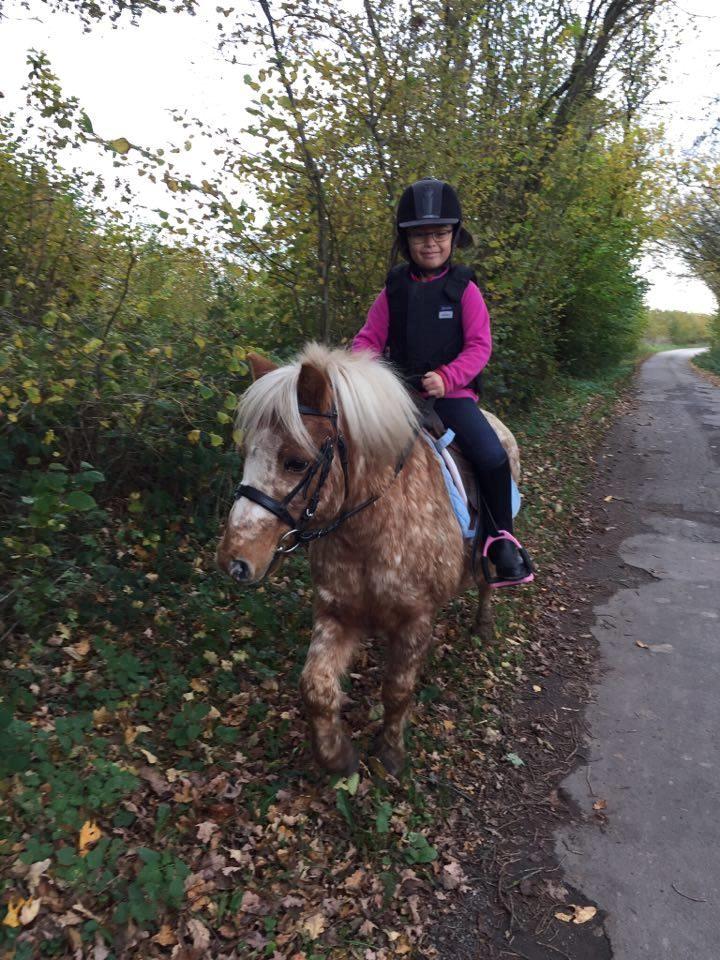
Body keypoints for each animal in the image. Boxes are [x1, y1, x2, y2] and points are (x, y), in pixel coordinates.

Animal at [217, 344, 520, 780]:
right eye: (245, 454)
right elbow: (316, 686)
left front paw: (390, 752)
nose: (235, 561)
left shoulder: (415, 620)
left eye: (296, 462)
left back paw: (483, 625)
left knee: (486, 583)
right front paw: (336, 756)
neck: (370, 530)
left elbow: (397, 690)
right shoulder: (336, 613)